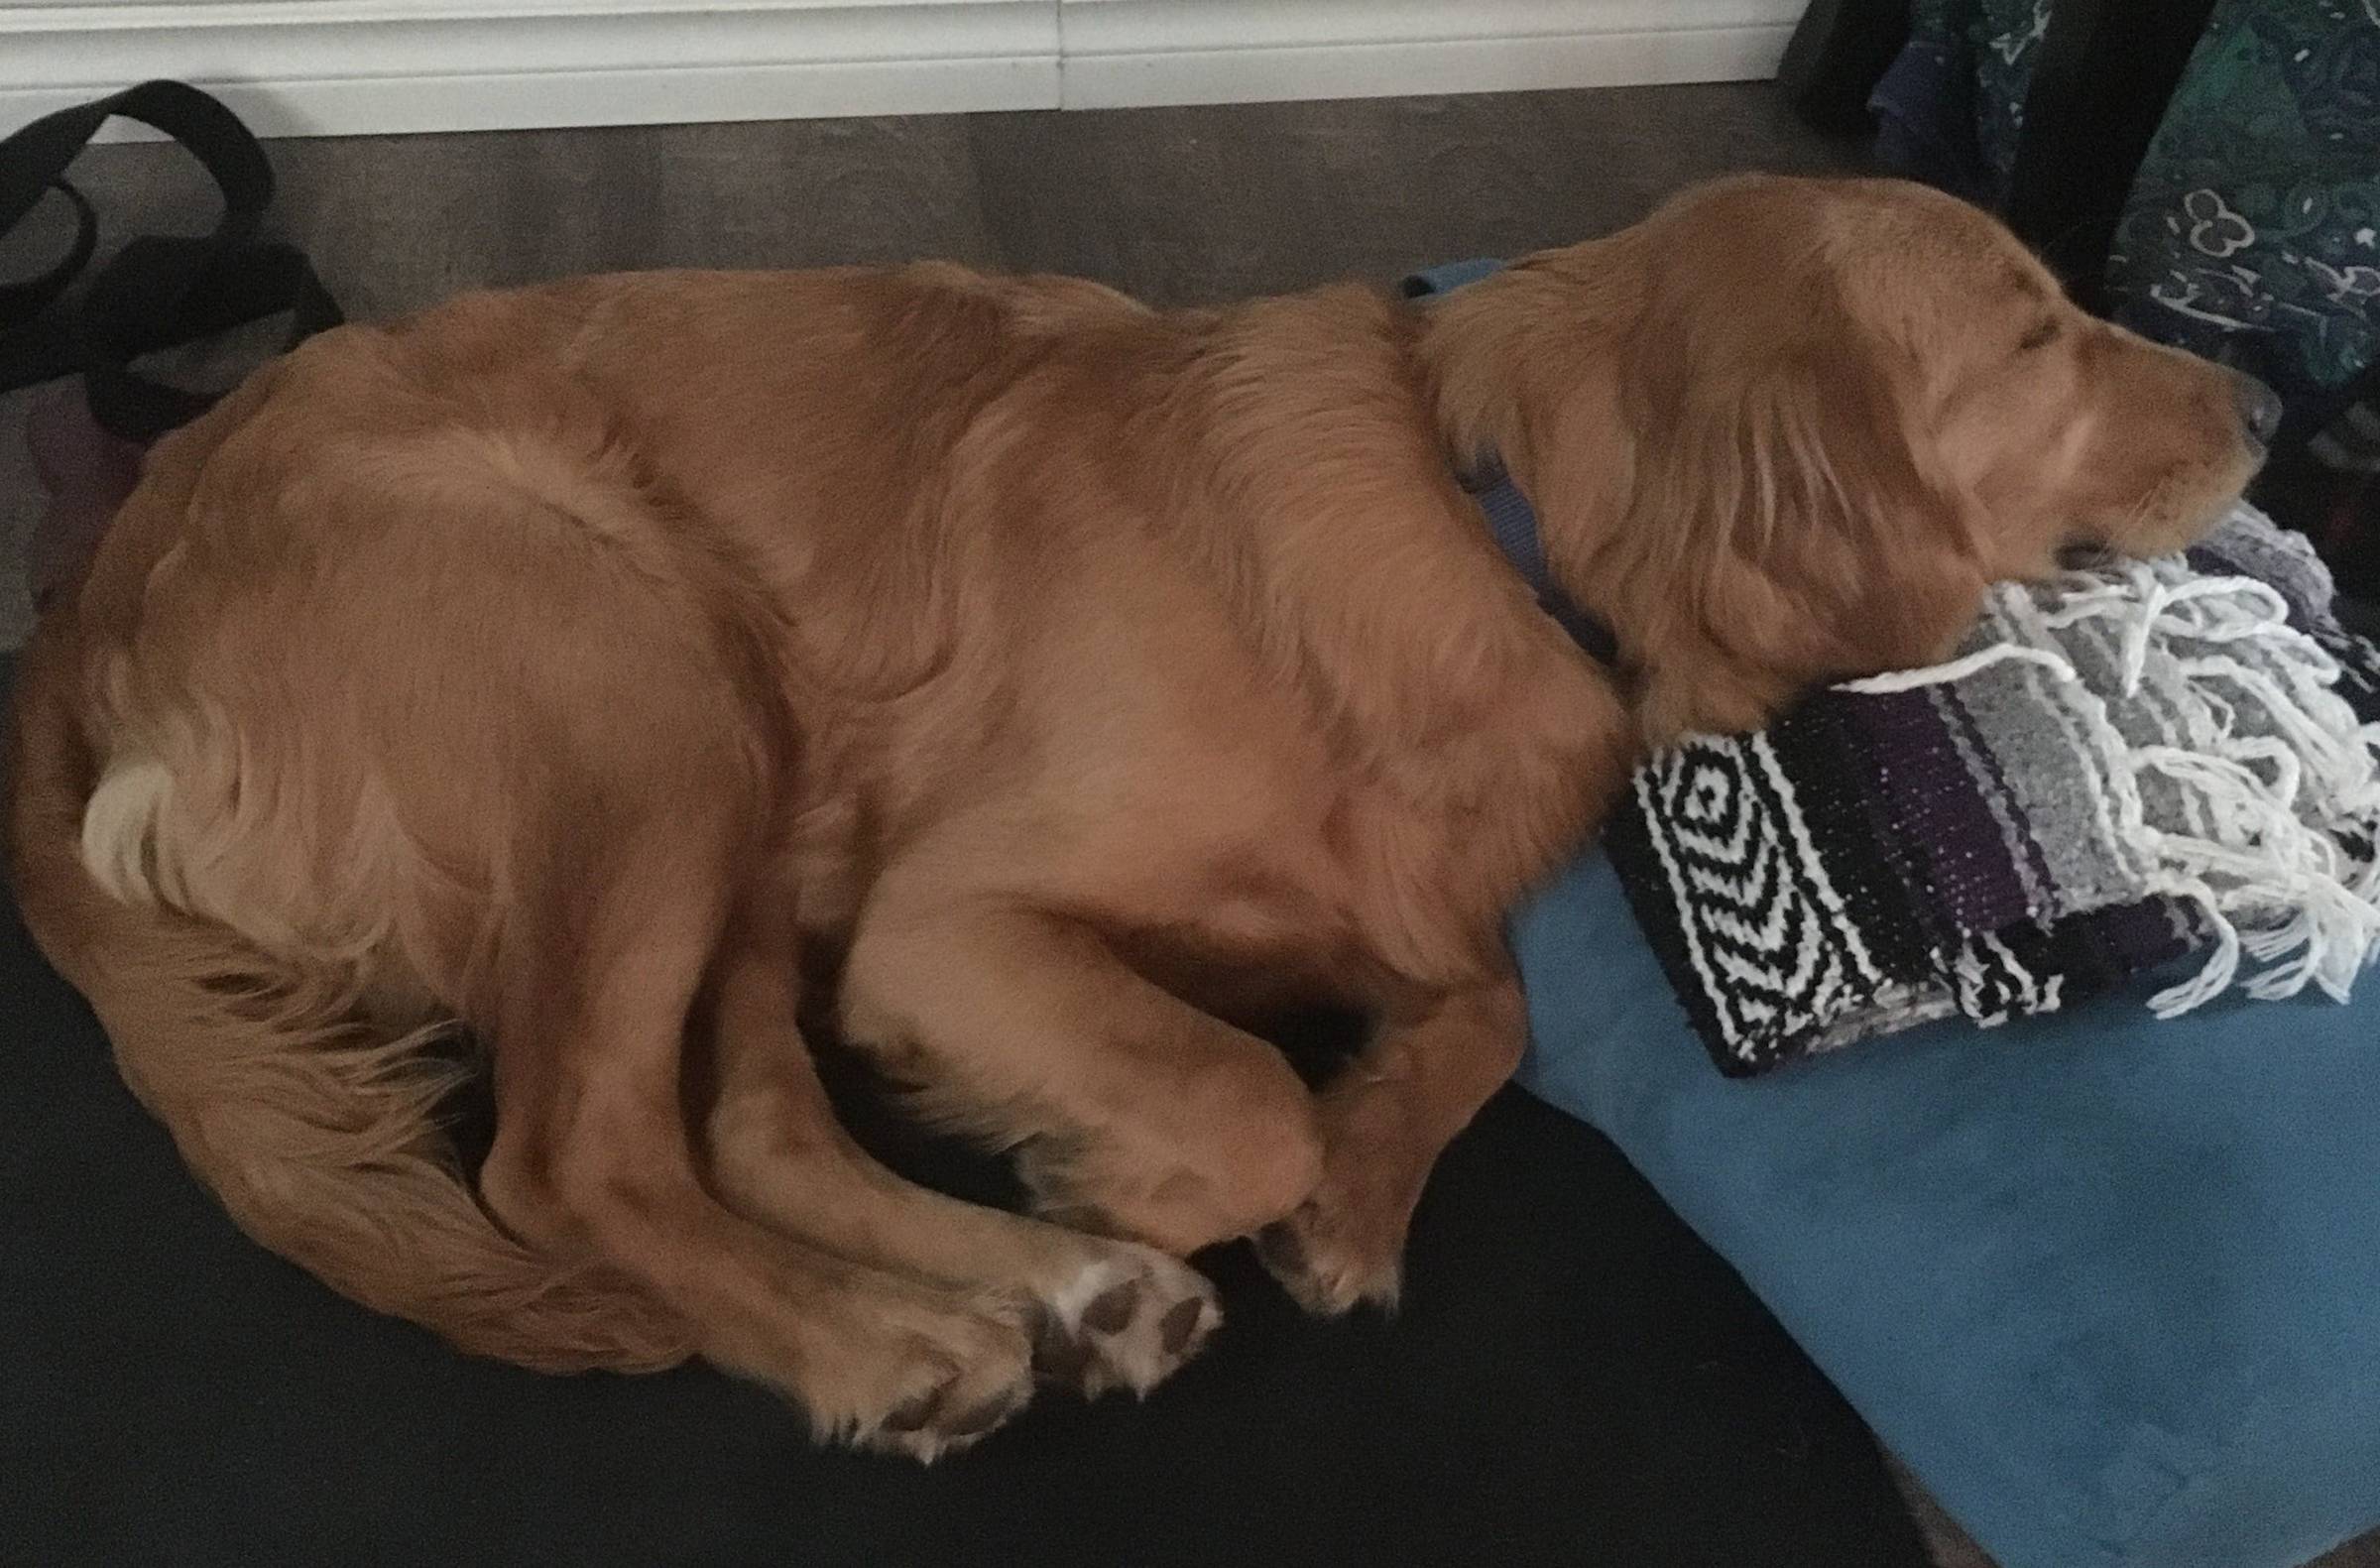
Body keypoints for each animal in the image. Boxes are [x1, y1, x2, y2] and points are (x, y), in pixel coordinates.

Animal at [4, 175, 2265, 1456]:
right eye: (2035, 328)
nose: (2265, 410)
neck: (1480, 505)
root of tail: (104, 583)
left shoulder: (1395, 922)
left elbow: (1480, 1011)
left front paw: (1343, 1185)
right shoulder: (944, 922)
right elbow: (1242, 1096)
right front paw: (1146, 1184)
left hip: (741, 771)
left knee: (740, 1128)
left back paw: (1026, 1293)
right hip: (639, 684)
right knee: (574, 1157)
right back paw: (908, 1340)